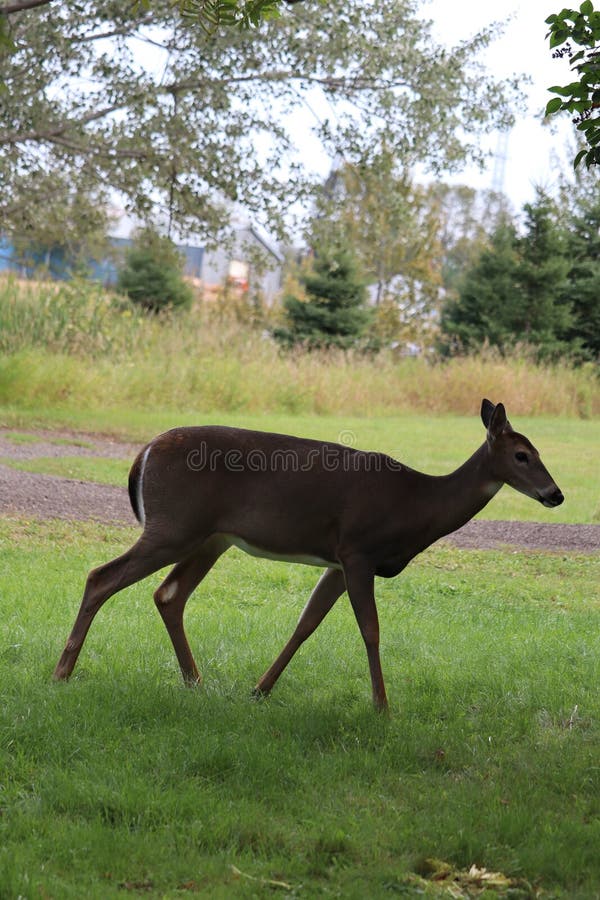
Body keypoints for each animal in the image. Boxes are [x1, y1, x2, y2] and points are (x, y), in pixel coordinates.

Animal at [54, 400, 564, 712]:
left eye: (539, 451)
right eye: (522, 455)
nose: (556, 494)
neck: (418, 506)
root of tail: (142, 453)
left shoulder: (337, 562)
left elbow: (306, 623)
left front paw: (260, 689)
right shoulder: (358, 549)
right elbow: (370, 630)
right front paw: (382, 706)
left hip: (210, 538)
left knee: (168, 594)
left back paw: (194, 681)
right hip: (174, 526)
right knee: (101, 576)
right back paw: (62, 672)